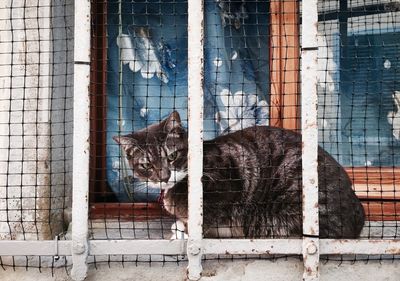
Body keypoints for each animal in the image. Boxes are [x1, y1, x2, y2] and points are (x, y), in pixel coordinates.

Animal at [112, 110, 366, 237]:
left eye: (172, 156)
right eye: (146, 165)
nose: (164, 176)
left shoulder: (223, 185)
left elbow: (206, 216)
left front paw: (185, 229)